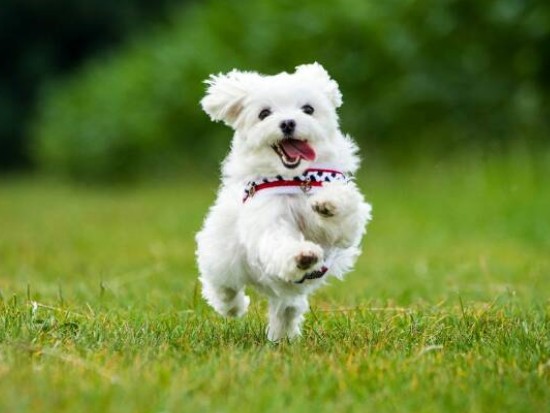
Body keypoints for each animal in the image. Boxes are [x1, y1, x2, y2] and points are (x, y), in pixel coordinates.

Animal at [196, 62, 374, 340]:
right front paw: (302, 255)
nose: (288, 122)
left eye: (308, 109)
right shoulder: (267, 221)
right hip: (222, 257)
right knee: (223, 288)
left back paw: (282, 336)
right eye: (264, 113)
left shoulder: (343, 226)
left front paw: (327, 204)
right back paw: (234, 307)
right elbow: (279, 240)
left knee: (287, 308)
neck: (295, 179)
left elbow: (343, 216)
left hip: (286, 295)